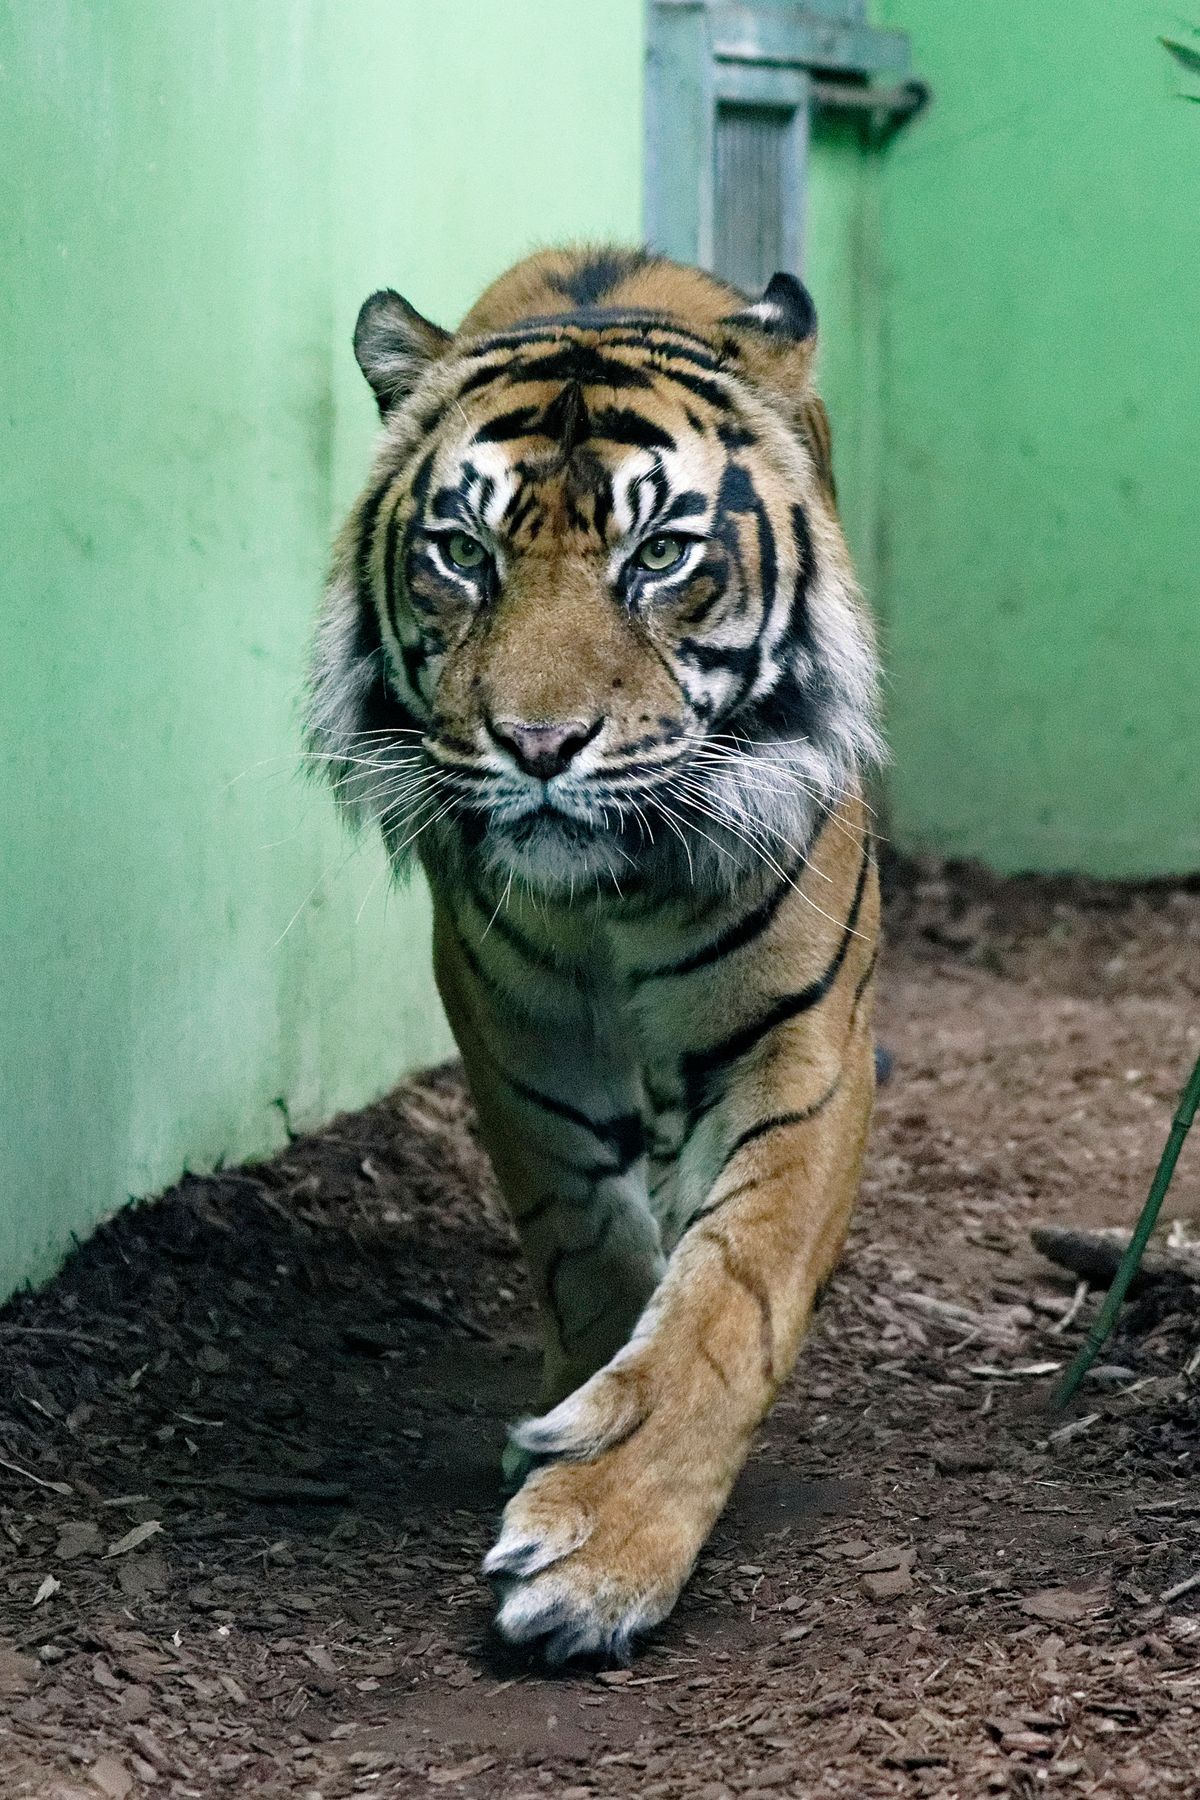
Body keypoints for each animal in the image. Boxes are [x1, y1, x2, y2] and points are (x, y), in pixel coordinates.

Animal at [307, 245, 882, 1664]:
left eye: (661, 553)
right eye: (461, 554)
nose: (538, 744)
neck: (614, 891)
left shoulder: (806, 1042)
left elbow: (733, 1294)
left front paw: (602, 1543)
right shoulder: (514, 1030)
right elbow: (586, 1241)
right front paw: (576, 1428)